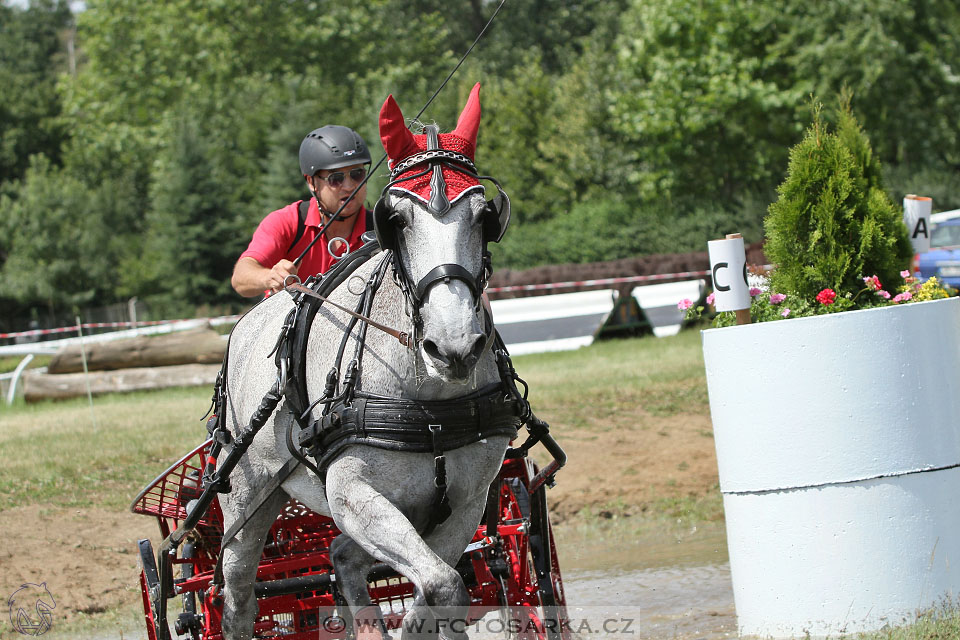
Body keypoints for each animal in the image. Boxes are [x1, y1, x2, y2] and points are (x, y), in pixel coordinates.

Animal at [217, 84, 510, 636]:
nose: (455, 346)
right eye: (394, 220)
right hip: (246, 502)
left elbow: (436, 594)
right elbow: (443, 586)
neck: (426, 399)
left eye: (486, 217)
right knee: (238, 595)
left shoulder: (464, 504)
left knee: (342, 556)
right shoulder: (352, 496)